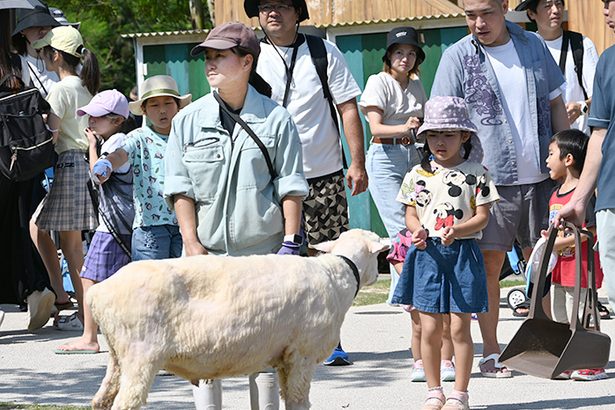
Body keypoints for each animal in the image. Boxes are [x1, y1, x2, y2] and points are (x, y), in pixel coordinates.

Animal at [89, 229, 390, 410]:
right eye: (379, 254)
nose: (380, 272)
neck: (339, 274)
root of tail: (98, 292)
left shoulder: (284, 358)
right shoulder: (302, 355)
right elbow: (298, 401)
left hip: (119, 356)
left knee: (100, 400)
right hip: (140, 353)